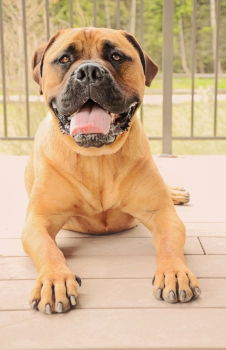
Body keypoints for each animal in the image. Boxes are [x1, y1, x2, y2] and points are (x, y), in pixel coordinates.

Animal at [21, 27, 201, 314]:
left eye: (116, 56)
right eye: (64, 59)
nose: (89, 72)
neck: (97, 160)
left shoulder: (161, 214)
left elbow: (169, 243)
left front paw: (174, 272)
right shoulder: (38, 221)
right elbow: (49, 249)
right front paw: (55, 280)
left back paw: (175, 193)